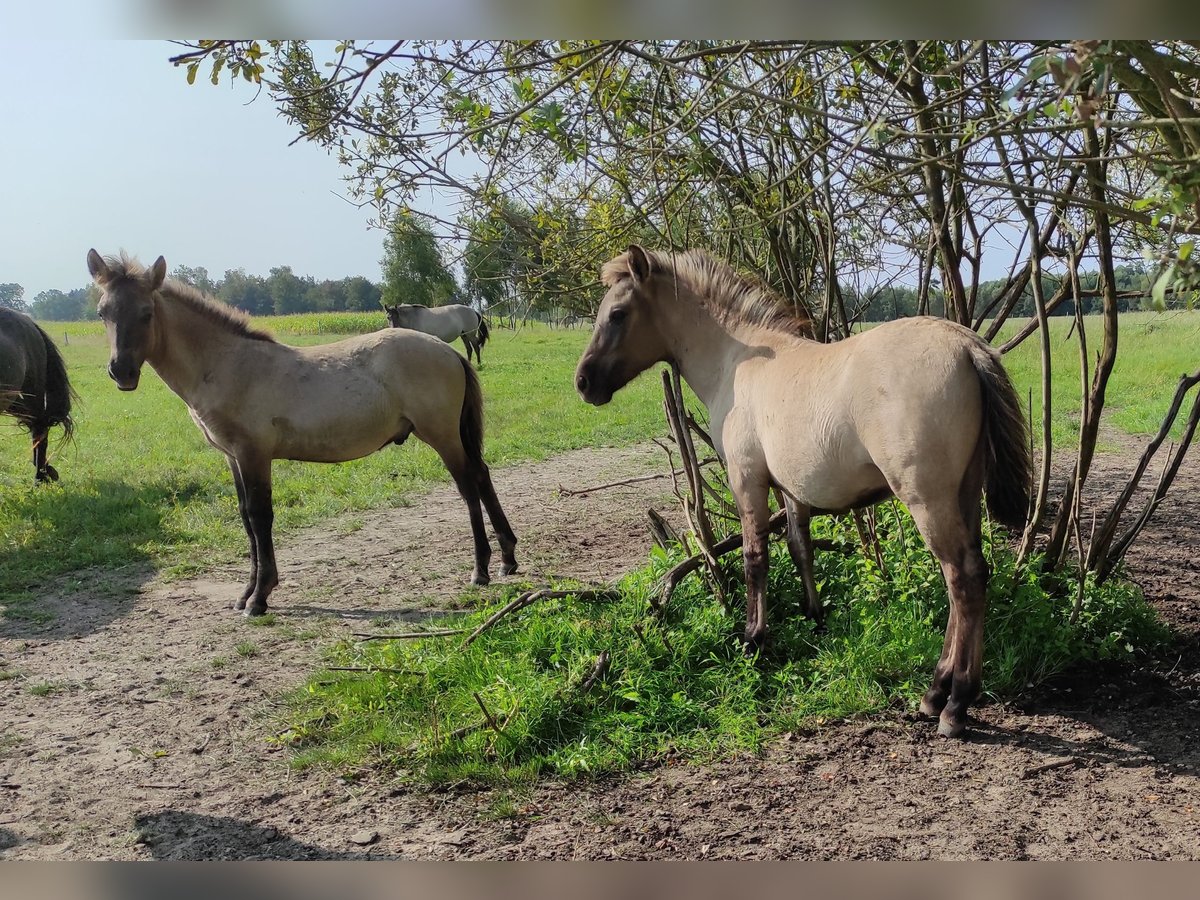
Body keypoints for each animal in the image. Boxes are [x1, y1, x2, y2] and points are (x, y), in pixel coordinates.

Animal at [84, 254, 516, 619]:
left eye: (146, 313)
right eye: (103, 313)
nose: (121, 372)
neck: (226, 365)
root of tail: (449, 352)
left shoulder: (253, 454)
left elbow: (260, 517)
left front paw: (259, 598)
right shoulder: (232, 457)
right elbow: (245, 518)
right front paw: (245, 593)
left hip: (441, 435)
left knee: (468, 486)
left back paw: (480, 569)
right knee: (482, 475)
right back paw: (508, 558)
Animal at [573, 247, 1032, 739]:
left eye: (618, 314)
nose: (584, 382)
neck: (737, 359)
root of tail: (966, 345)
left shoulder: (747, 479)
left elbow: (755, 558)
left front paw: (754, 639)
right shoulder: (791, 489)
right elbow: (800, 547)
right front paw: (814, 616)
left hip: (928, 499)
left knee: (962, 579)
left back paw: (953, 703)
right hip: (964, 492)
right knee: (971, 576)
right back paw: (939, 691)